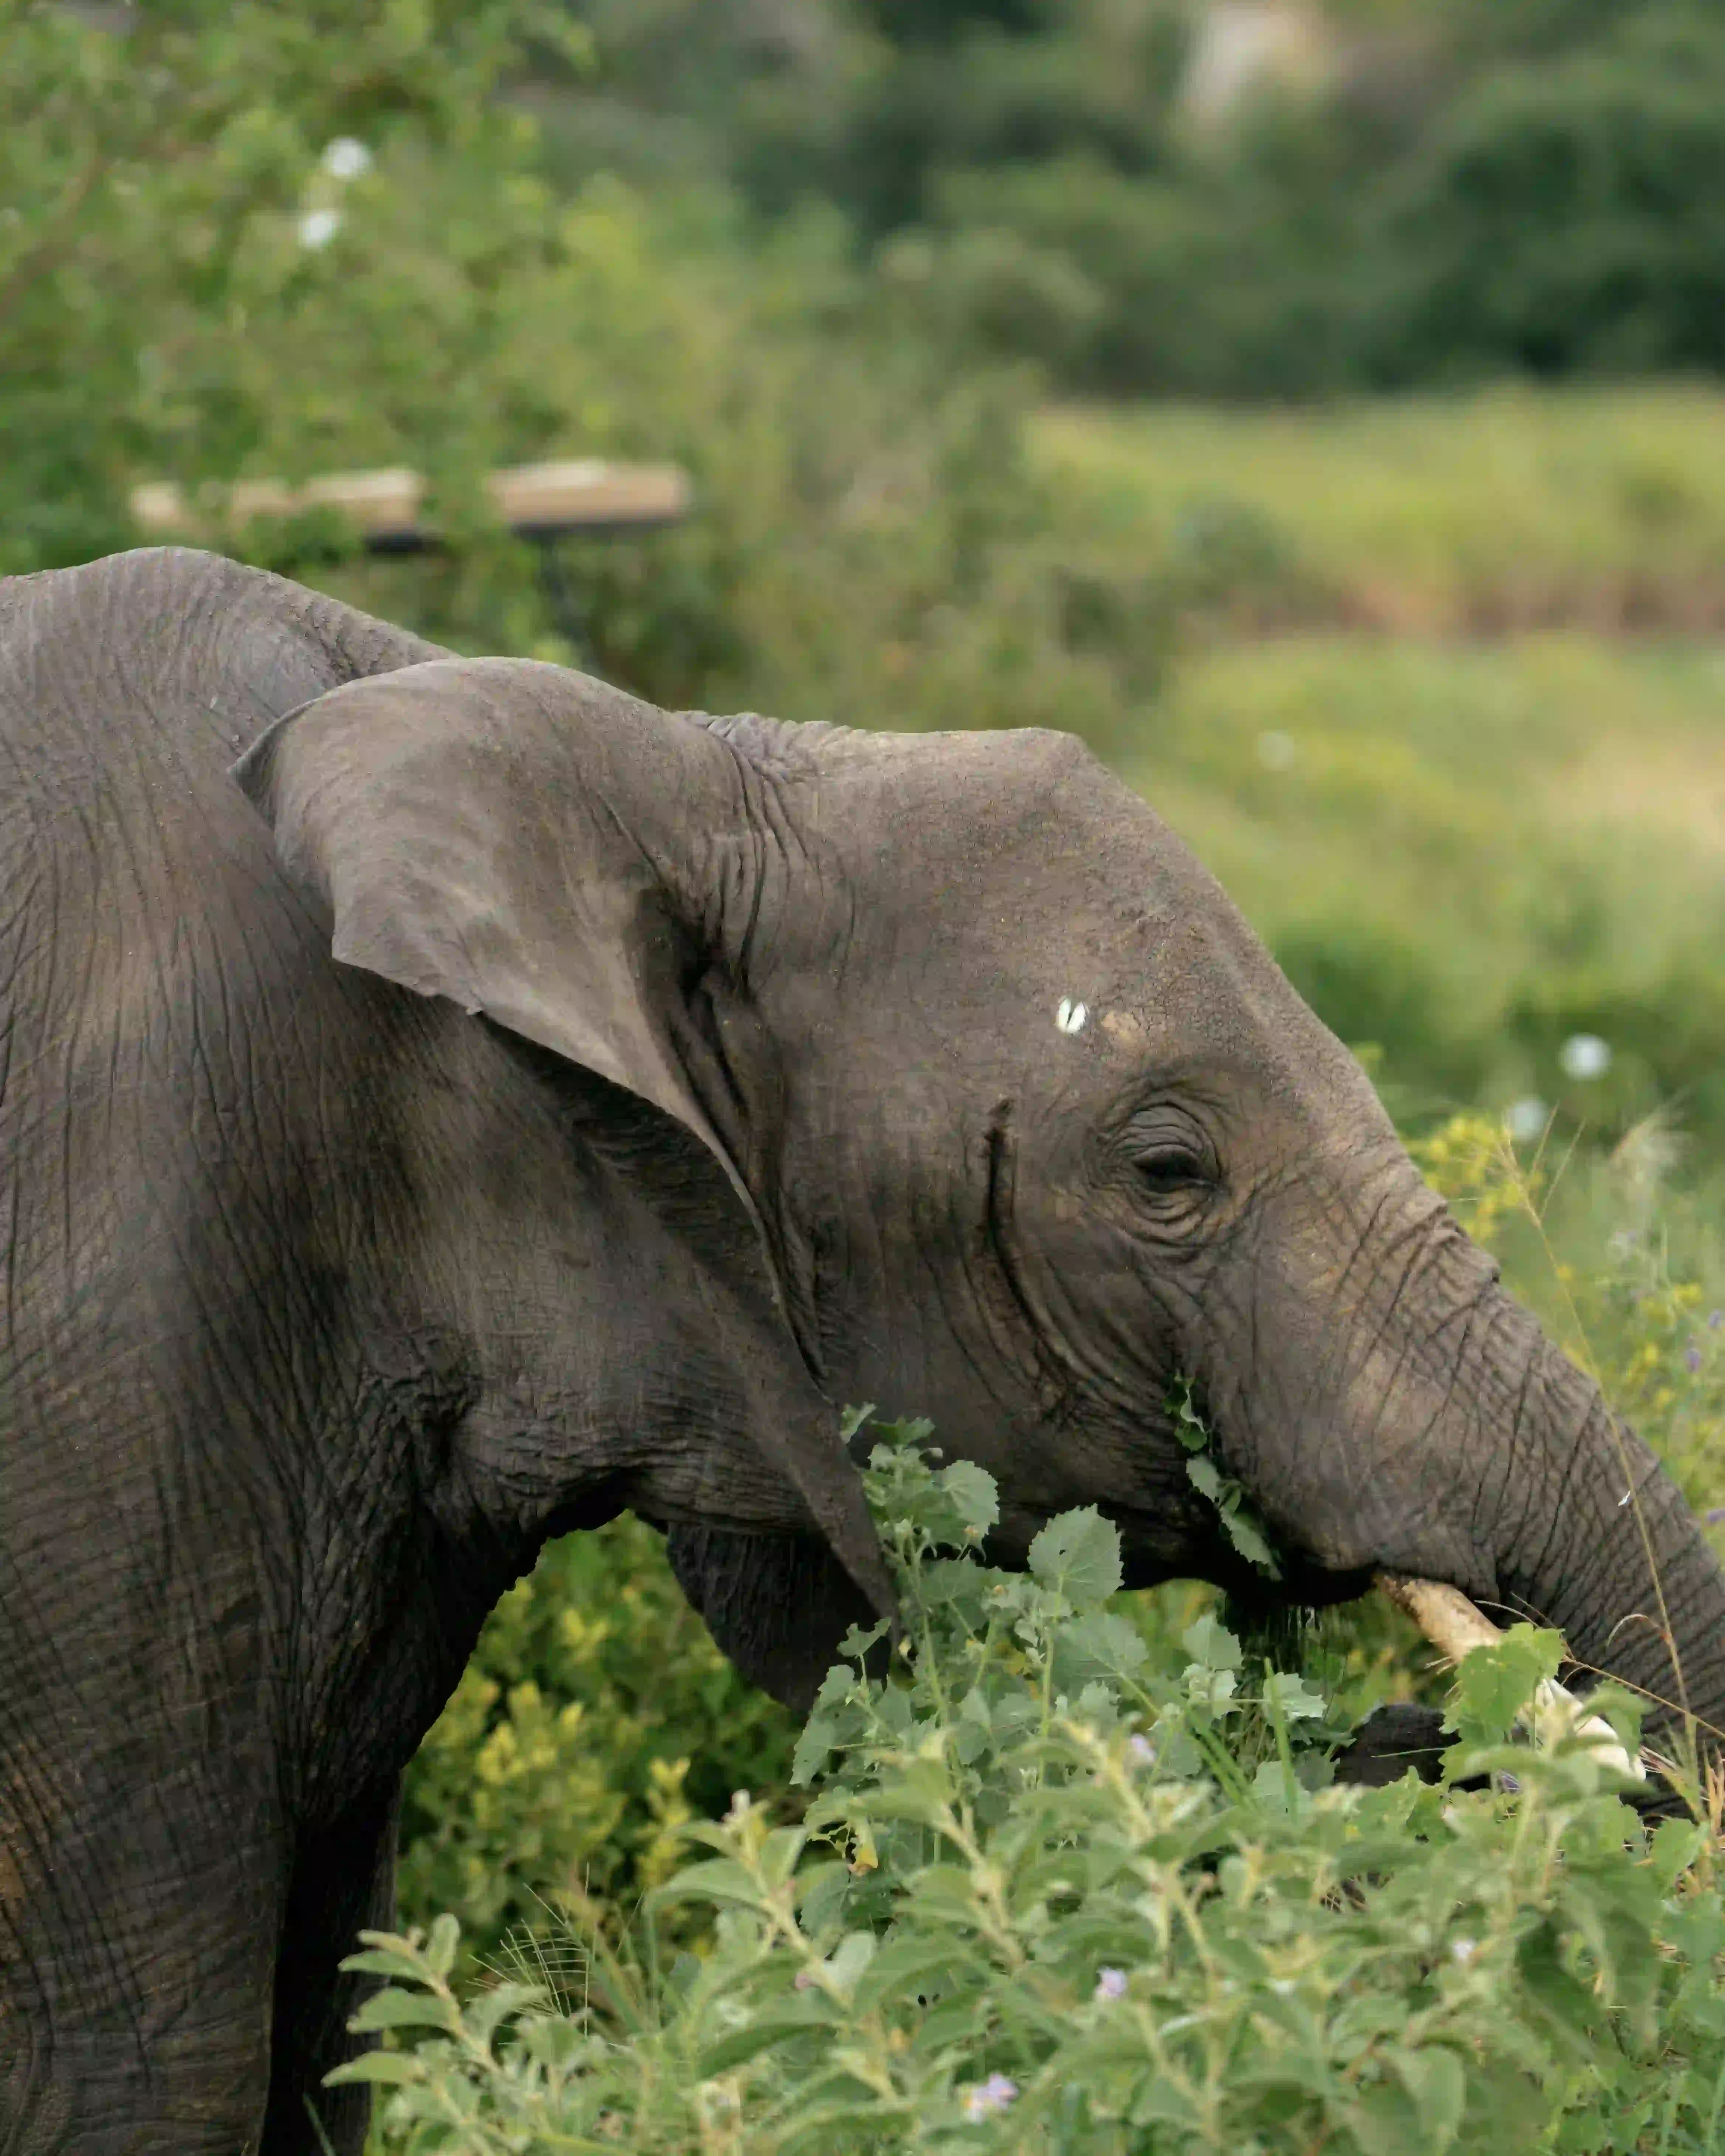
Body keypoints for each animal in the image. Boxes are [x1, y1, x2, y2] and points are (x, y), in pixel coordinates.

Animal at [1, 544, 1719, 2154]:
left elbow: (321, 2042)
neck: (650, 766)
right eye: (1168, 1170)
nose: (1418, 1732)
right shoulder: (131, 1307)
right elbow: (145, 2073)